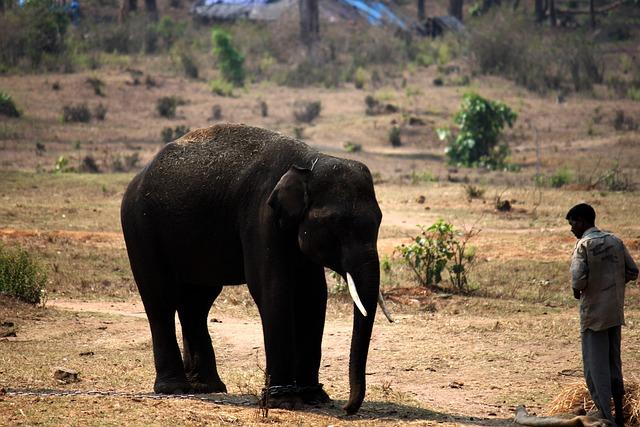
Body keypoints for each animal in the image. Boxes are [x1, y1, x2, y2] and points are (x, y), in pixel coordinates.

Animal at [119, 123, 390, 414]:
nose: (347, 408)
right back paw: (176, 388)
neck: (308, 162)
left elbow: (313, 295)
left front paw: (315, 398)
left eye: (378, 220)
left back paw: (208, 386)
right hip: (139, 227)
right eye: (334, 224)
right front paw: (285, 402)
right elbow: (273, 289)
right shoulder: (261, 216)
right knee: (160, 299)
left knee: (197, 303)